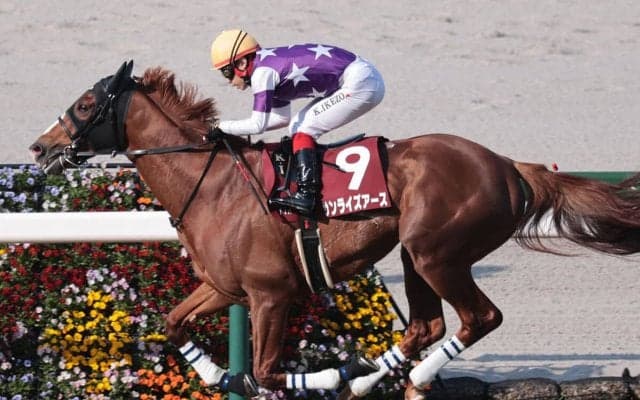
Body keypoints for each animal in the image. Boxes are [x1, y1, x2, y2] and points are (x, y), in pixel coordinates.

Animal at [29, 61, 640, 399]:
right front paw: (216, 374)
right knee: (426, 326)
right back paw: (374, 379)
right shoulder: (225, 288)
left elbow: (265, 373)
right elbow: (174, 326)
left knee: (479, 318)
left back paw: (394, 378)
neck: (212, 184)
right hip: (417, 256)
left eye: (85, 103)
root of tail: (509, 165)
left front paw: (322, 378)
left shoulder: (270, 295)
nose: (40, 147)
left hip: (438, 252)